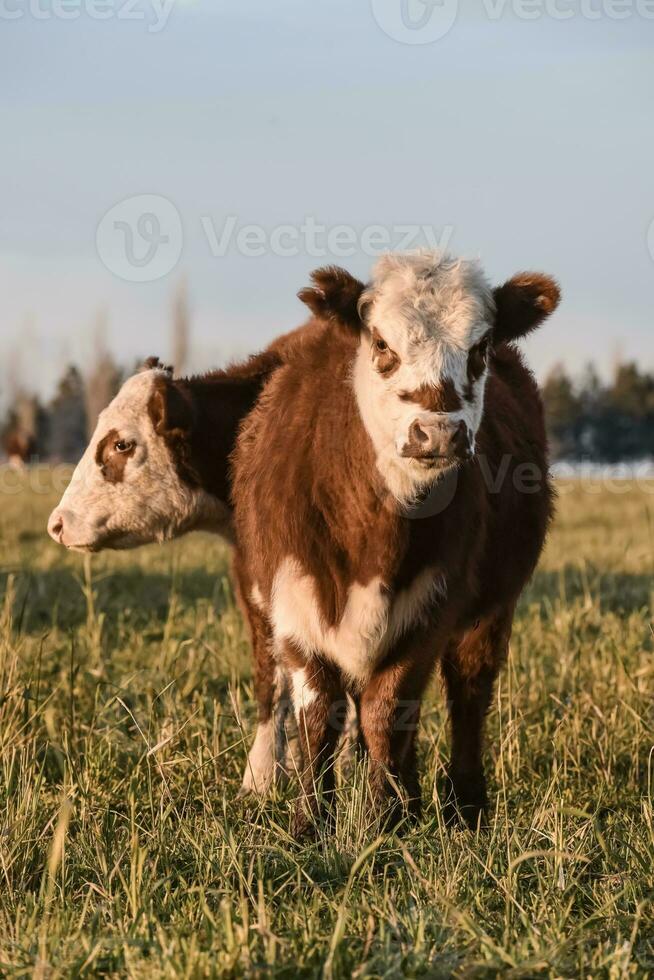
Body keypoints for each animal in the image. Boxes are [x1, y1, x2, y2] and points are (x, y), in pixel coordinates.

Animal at [231, 251, 560, 836]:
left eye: (479, 348)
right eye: (382, 344)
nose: (438, 433)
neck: (372, 539)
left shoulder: (432, 607)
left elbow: (390, 709)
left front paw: (384, 822)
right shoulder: (293, 601)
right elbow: (319, 714)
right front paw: (311, 822)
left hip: (491, 611)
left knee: (467, 692)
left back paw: (462, 805)